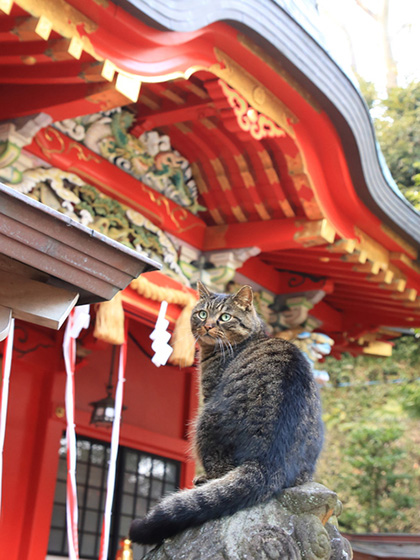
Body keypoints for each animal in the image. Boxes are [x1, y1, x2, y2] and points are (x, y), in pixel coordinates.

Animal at [130, 282, 324, 544]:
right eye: (202, 314)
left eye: (225, 317)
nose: (208, 325)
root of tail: (268, 460)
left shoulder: (208, 392)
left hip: (203, 422)